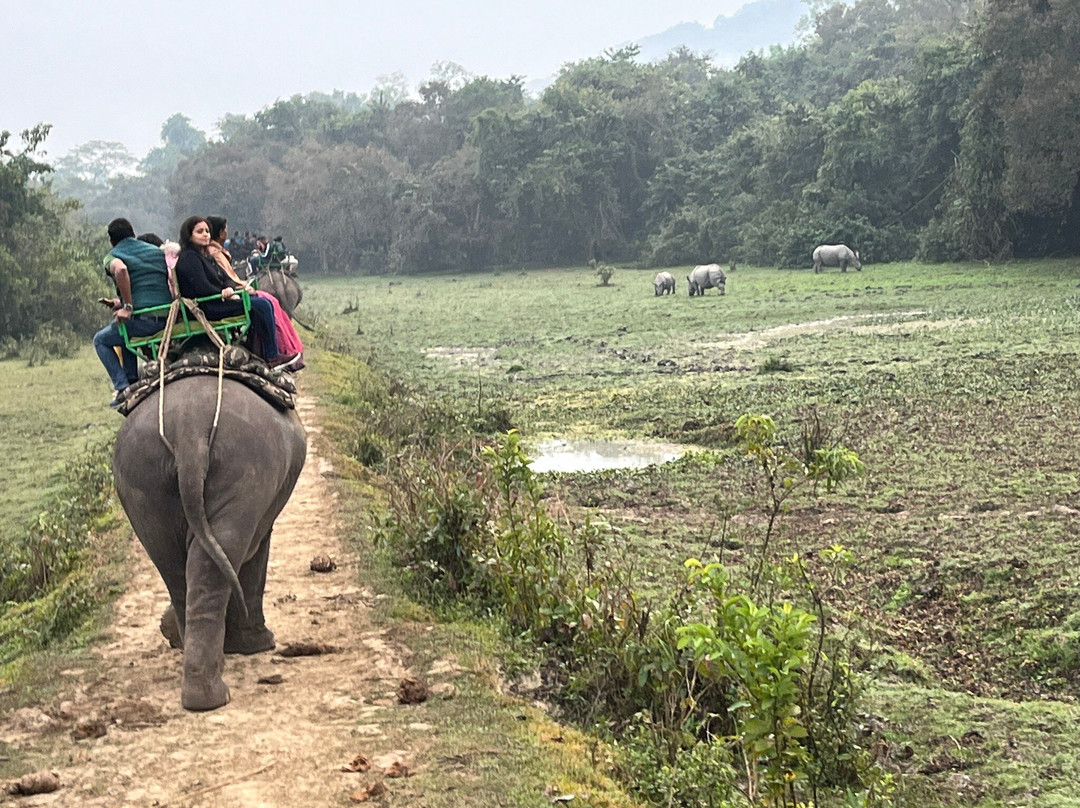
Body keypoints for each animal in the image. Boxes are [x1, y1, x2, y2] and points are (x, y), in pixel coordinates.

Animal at [112, 375, 306, 708]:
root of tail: (189, 429)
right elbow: (257, 550)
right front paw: (260, 644)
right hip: (246, 466)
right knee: (218, 559)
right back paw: (214, 693)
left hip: (141, 481)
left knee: (176, 569)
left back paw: (197, 676)